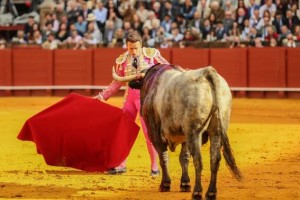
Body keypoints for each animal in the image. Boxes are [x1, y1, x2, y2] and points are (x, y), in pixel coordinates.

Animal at [112, 64, 241, 200]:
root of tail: (208, 72)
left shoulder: (155, 132)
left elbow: (163, 157)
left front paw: (165, 184)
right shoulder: (184, 137)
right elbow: (184, 157)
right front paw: (185, 184)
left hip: (194, 132)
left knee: (198, 160)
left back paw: (197, 192)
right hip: (216, 130)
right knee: (215, 159)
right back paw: (211, 193)